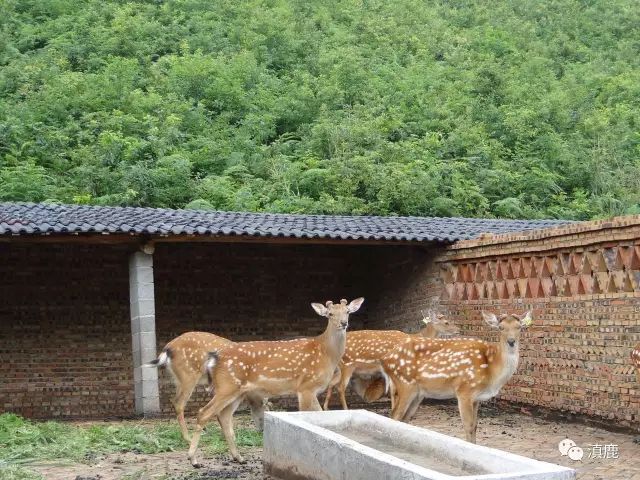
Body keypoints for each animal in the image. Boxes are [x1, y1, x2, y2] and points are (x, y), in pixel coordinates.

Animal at [188, 296, 362, 464]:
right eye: (330, 314)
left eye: (347, 311)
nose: (344, 323)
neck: (326, 354)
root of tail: (214, 358)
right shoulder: (306, 386)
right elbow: (311, 415)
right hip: (227, 385)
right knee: (203, 413)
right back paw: (193, 459)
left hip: (237, 391)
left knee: (224, 416)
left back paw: (238, 457)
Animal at [322, 312, 458, 408]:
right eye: (446, 322)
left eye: (451, 321)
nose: (458, 330)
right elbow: (396, 390)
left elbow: (393, 390)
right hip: (347, 364)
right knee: (340, 387)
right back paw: (345, 409)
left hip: (340, 368)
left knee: (331, 383)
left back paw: (325, 408)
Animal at [382, 312, 532, 442]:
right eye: (501, 327)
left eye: (519, 327)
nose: (511, 341)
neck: (491, 370)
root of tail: (386, 360)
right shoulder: (464, 391)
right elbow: (468, 426)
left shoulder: (477, 398)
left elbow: (475, 426)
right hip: (405, 383)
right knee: (394, 415)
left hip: (418, 393)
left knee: (403, 418)